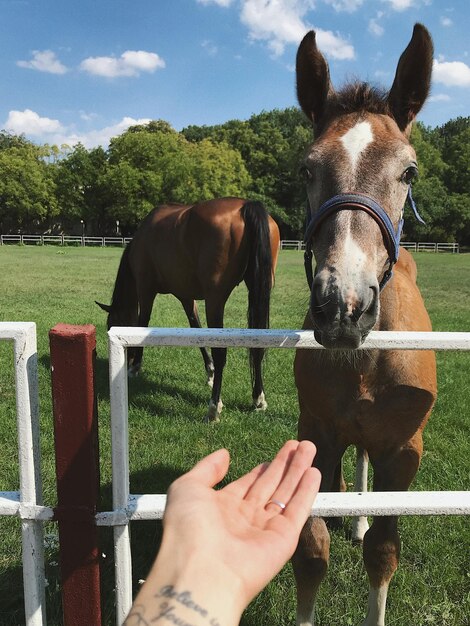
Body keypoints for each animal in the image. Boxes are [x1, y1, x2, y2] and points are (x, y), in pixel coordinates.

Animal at [96, 195, 280, 420]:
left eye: (113, 324)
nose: (127, 359)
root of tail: (246, 206)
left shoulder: (145, 289)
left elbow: (143, 322)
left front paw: (135, 367)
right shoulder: (185, 296)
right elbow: (196, 329)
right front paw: (209, 372)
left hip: (215, 299)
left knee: (221, 351)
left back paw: (214, 406)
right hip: (257, 290)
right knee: (258, 344)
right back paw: (258, 398)